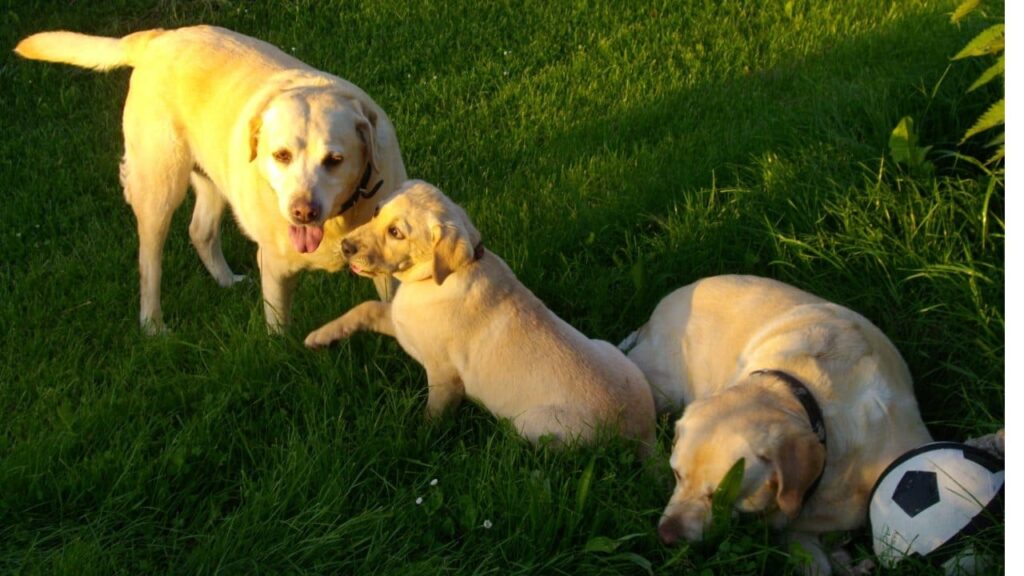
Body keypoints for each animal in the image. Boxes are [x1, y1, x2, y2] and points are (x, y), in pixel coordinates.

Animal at [14, 25, 407, 332]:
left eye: (335, 160)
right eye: (281, 155)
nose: (302, 212)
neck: (340, 218)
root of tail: (159, 37)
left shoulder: (388, 269)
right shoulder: (275, 267)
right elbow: (280, 330)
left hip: (214, 179)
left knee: (199, 231)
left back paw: (227, 281)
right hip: (159, 187)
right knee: (149, 263)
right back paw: (154, 327)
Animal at [303, 181, 655, 446]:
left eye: (396, 233)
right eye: (376, 211)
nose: (345, 247)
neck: (434, 279)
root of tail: (644, 431)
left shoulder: (444, 374)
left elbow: (433, 412)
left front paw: (418, 438)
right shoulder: (400, 321)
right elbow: (365, 308)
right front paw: (321, 336)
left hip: (536, 425)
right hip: (607, 349)